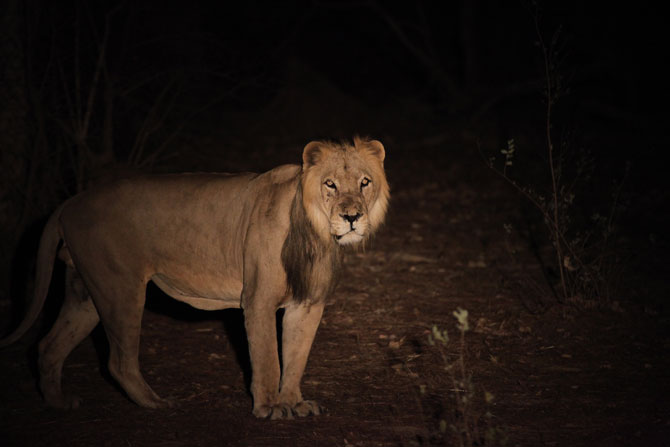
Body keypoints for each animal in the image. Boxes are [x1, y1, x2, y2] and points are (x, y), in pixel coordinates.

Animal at [0, 136, 388, 420]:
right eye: (330, 184)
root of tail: (71, 201)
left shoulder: (308, 304)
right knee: (118, 361)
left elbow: (296, 357)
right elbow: (268, 358)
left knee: (49, 345)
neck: (317, 236)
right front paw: (270, 408)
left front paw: (294, 403)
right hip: (120, 289)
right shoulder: (258, 300)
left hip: (86, 294)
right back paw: (156, 403)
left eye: (364, 183)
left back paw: (58, 403)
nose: (352, 217)